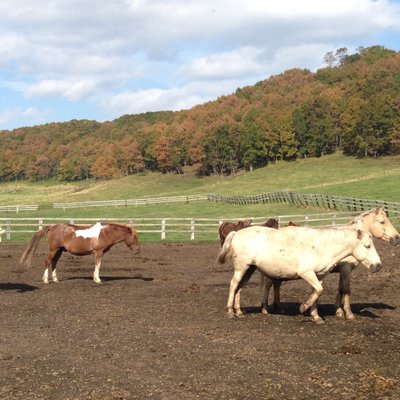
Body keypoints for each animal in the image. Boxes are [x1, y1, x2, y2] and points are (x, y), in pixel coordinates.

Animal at [219, 227, 382, 324]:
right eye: (367, 246)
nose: (378, 266)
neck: (322, 247)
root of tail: (236, 233)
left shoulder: (319, 276)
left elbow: (317, 293)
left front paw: (316, 316)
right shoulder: (306, 273)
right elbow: (319, 291)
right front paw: (303, 308)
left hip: (249, 269)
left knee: (239, 288)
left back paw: (239, 312)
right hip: (241, 267)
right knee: (234, 285)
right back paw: (230, 312)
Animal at [260, 208, 398, 320]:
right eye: (382, 222)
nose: (397, 238)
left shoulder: (341, 270)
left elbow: (340, 288)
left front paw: (338, 310)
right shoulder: (346, 269)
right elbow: (346, 290)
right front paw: (348, 313)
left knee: (276, 284)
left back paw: (278, 306)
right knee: (268, 285)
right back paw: (265, 308)